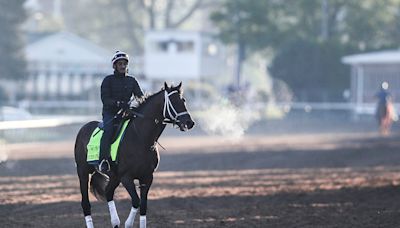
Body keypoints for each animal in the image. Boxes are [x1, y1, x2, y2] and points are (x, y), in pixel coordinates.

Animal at [75, 81, 195, 227]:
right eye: (173, 101)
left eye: (183, 100)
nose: (189, 122)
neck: (141, 138)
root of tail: (83, 128)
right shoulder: (127, 177)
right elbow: (136, 201)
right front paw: (128, 224)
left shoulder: (147, 177)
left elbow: (143, 205)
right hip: (83, 171)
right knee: (85, 203)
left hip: (114, 176)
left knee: (108, 193)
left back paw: (115, 222)